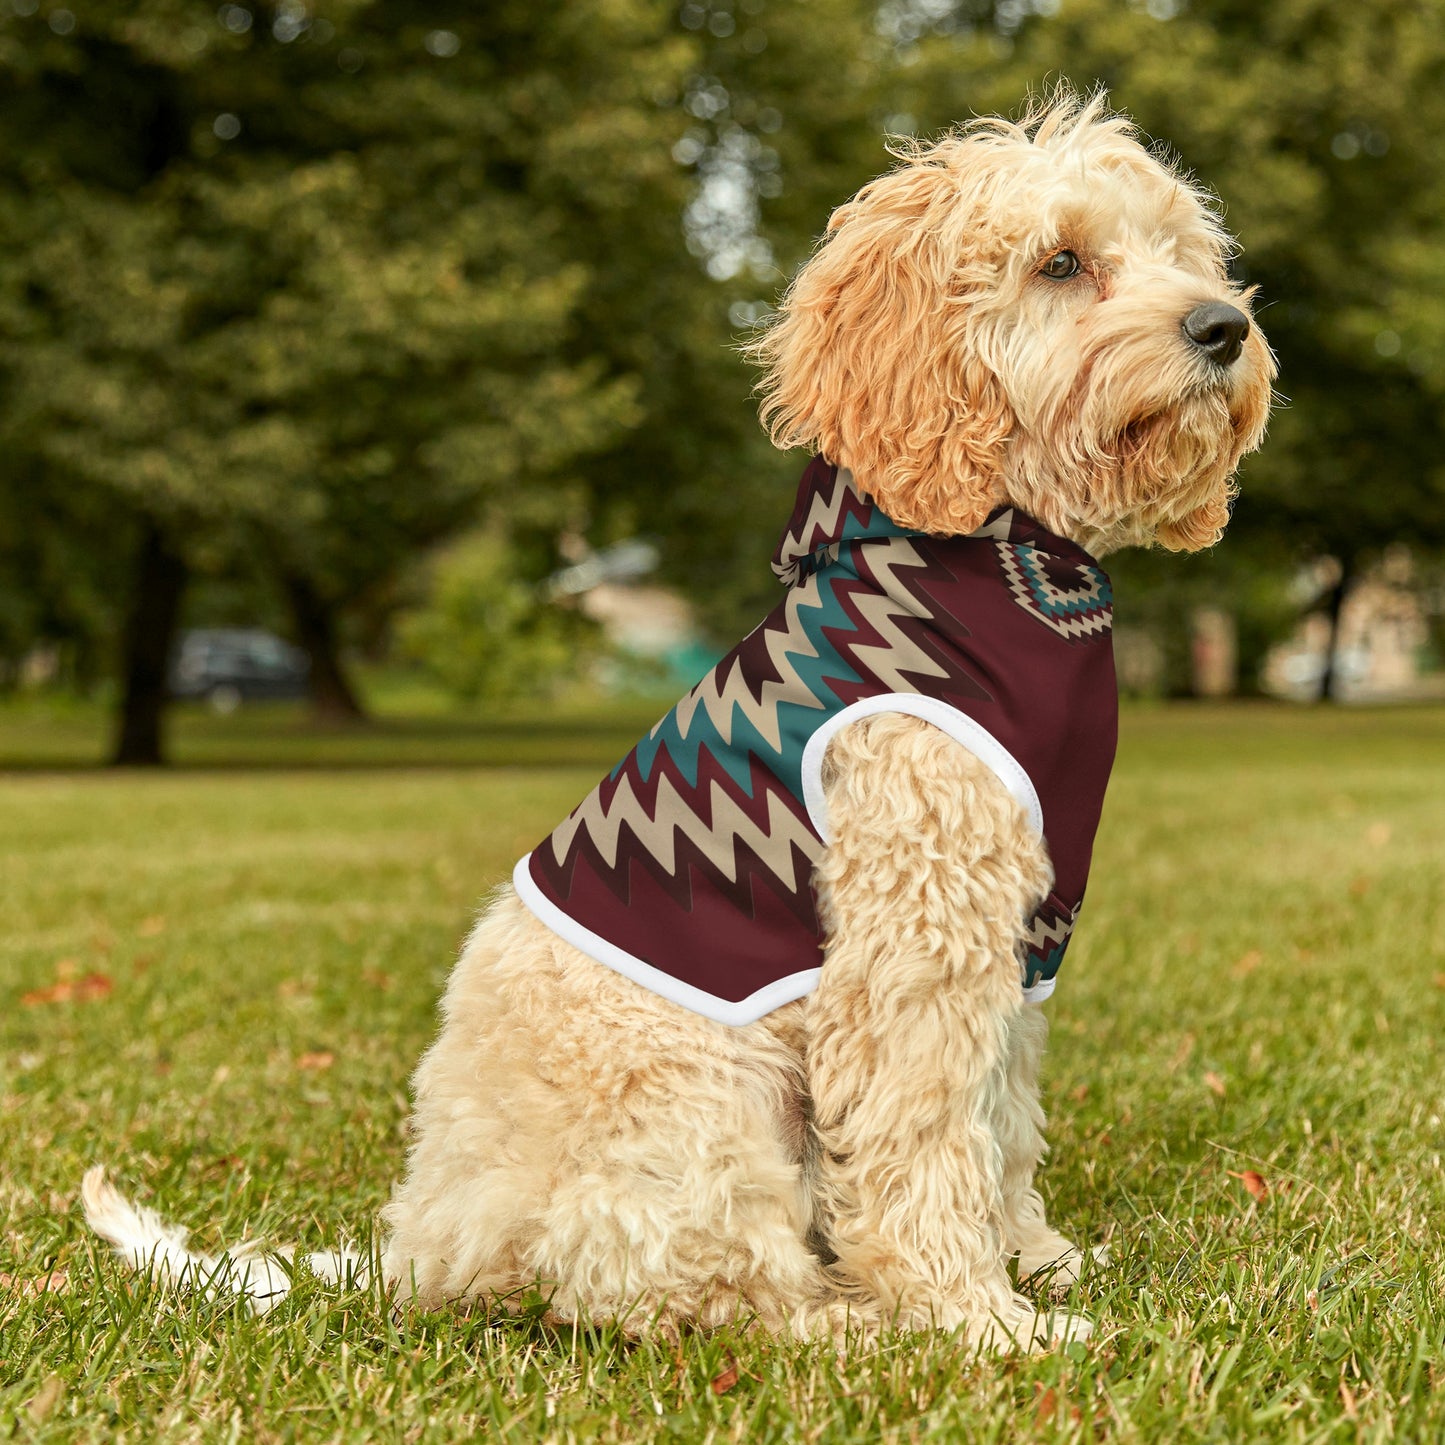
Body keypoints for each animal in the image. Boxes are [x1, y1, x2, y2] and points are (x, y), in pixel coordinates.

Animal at [84, 93, 1271, 1352]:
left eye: (1180, 252)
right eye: (1060, 262)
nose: (1222, 327)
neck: (1012, 562)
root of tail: (424, 1245)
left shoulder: (1019, 936)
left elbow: (999, 1119)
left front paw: (1034, 1259)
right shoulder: (913, 938)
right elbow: (924, 1136)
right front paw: (976, 1318)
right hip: (705, 1103)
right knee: (698, 1290)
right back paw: (852, 1322)